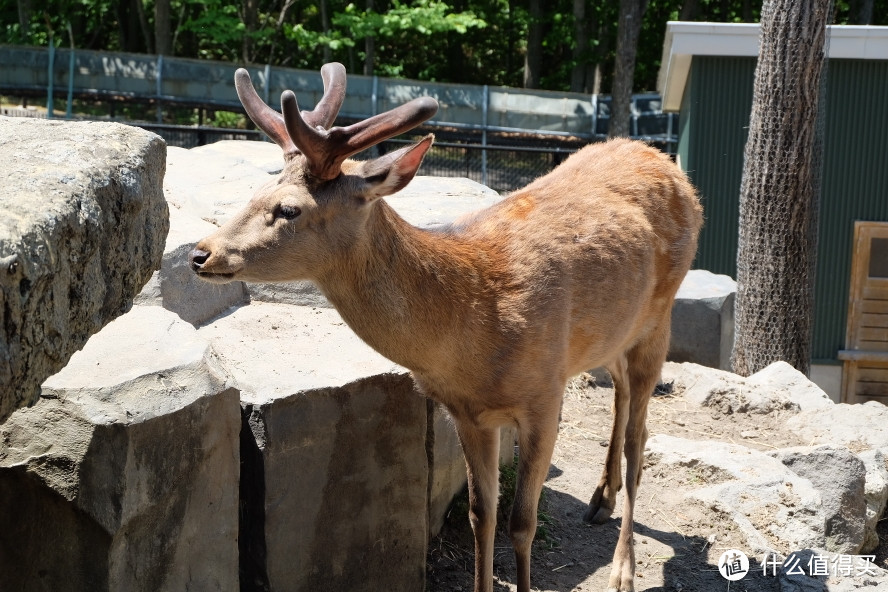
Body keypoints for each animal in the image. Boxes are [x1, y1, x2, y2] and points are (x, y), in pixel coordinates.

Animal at [189, 65, 700, 592]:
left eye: (289, 209)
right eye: (255, 195)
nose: (200, 253)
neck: (471, 330)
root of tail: (666, 162)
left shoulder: (544, 396)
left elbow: (522, 522)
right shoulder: (467, 413)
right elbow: (481, 514)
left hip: (661, 314)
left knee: (641, 437)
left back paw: (623, 567)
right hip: (615, 331)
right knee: (621, 392)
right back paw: (601, 498)